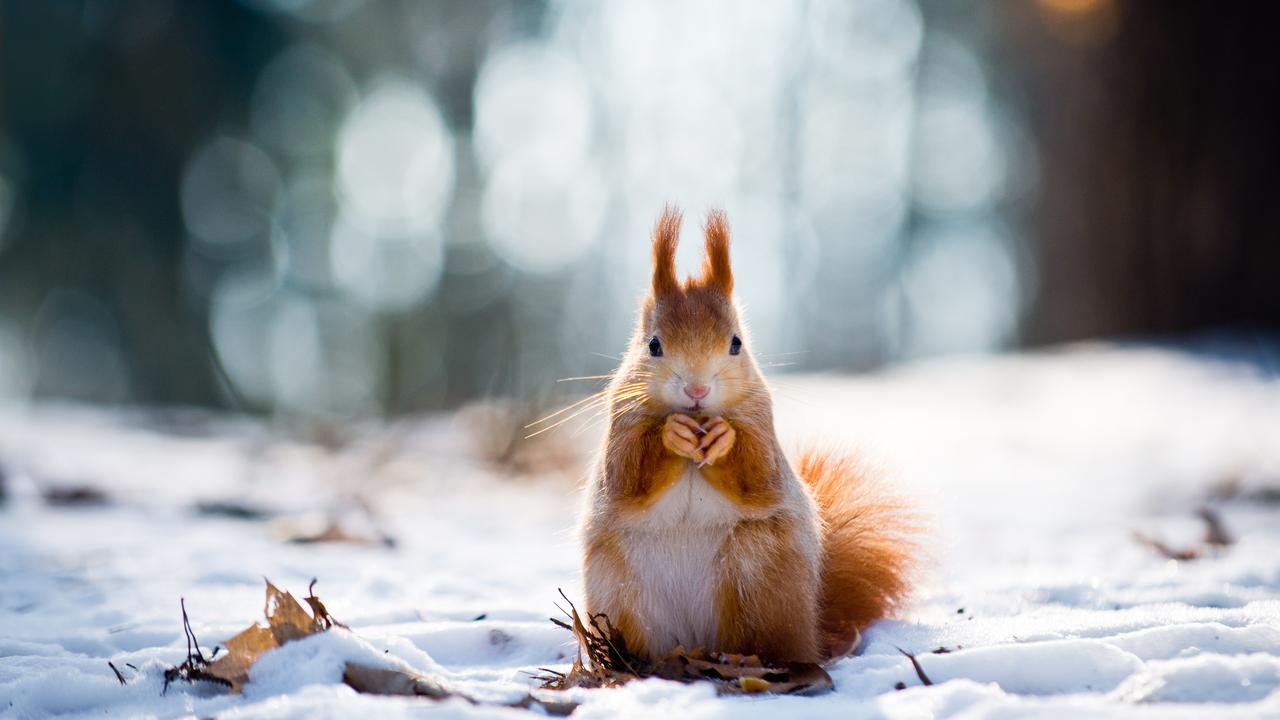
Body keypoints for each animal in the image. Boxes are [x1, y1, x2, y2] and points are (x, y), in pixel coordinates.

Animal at [580, 206, 917, 664]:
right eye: (653, 345)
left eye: (736, 343)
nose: (697, 391)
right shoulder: (621, 426)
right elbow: (628, 476)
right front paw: (672, 434)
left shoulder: (762, 425)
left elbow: (758, 475)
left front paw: (724, 439)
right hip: (618, 589)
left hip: (757, 571)